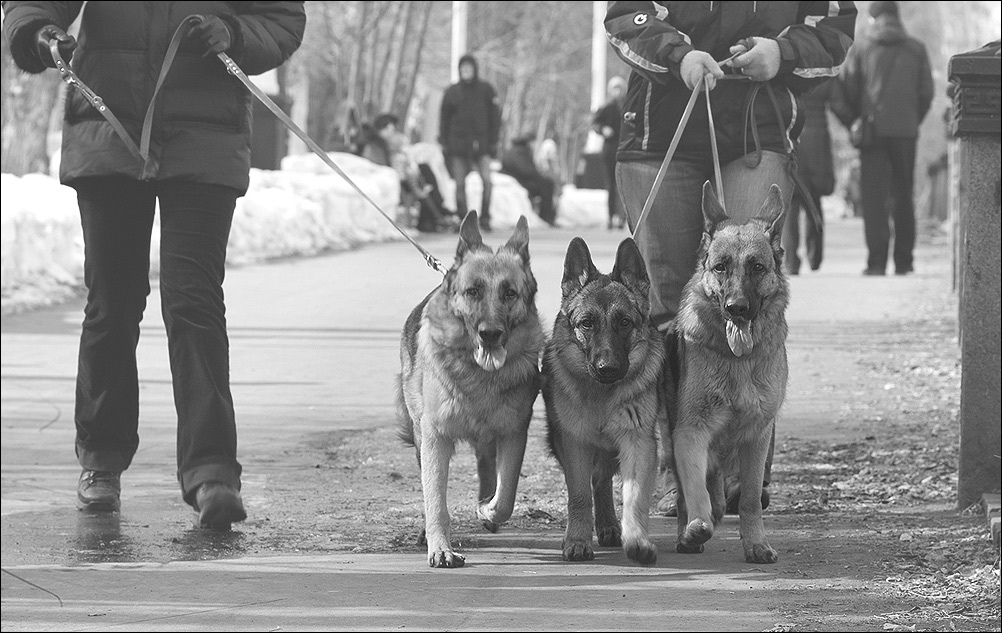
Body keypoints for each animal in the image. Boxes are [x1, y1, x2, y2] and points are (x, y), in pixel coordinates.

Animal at [394, 209, 545, 568]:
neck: (481, 376)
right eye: (473, 291)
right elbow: (435, 500)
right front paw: (440, 548)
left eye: (509, 293)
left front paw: (488, 509)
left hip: (488, 437)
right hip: (421, 435)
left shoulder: (514, 433)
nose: (490, 333)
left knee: (487, 467)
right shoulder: (435, 438)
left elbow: (506, 496)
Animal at [541, 237, 665, 564]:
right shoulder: (575, 444)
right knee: (595, 483)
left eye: (624, 322)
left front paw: (637, 541)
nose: (607, 368)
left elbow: (634, 497)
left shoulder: (638, 443)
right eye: (587, 324)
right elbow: (580, 496)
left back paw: (609, 524)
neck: (602, 396)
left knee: (602, 481)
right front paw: (576, 541)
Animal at [665, 181, 789, 564]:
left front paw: (756, 544)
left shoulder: (757, 439)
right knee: (695, 494)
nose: (737, 308)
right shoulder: (690, 434)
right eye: (720, 268)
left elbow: (749, 500)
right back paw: (688, 533)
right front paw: (695, 529)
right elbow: (696, 497)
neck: (738, 362)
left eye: (757, 267)